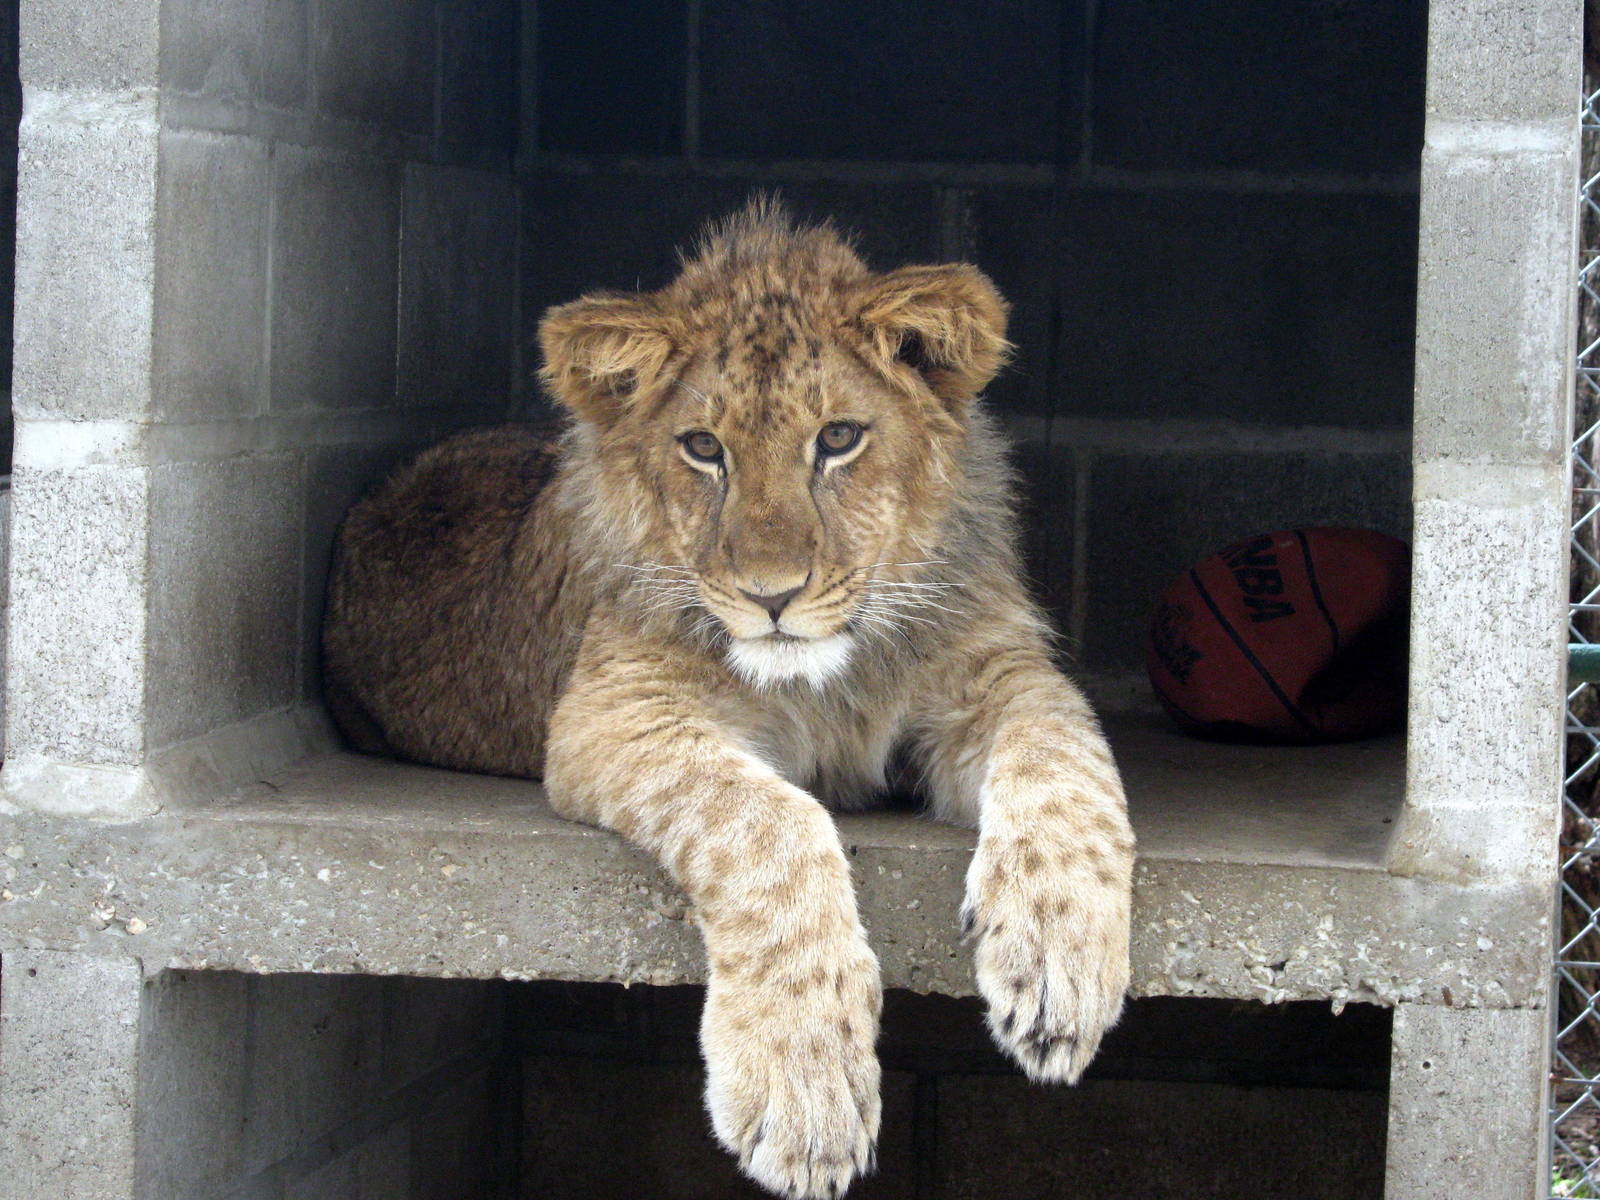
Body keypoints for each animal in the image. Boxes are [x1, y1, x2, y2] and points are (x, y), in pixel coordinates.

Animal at [323, 199, 1134, 1200]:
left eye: (839, 439)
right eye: (704, 450)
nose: (771, 596)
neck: (835, 676)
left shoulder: (1000, 672)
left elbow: (1066, 764)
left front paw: (1060, 961)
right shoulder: (615, 710)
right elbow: (769, 824)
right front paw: (805, 1089)